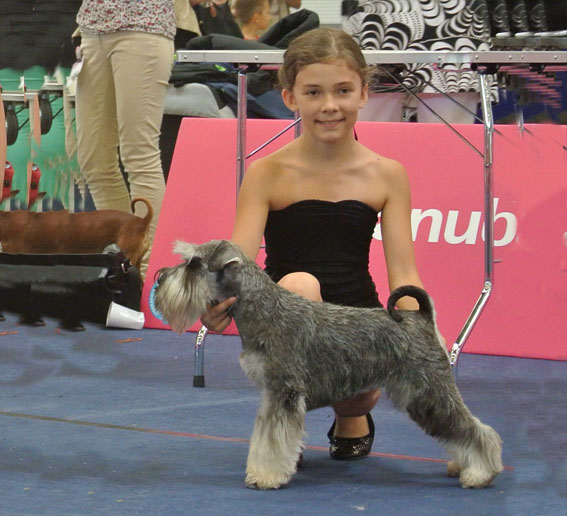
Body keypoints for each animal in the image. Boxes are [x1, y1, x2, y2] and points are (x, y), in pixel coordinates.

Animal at [153, 239, 503, 490]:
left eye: (194, 264)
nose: (159, 278)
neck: (264, 310)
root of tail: (421, 317)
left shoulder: (284, 393)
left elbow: (274, 440)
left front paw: (268, 477)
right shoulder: (272, 395)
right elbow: (264, 436)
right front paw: (261, 470)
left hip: (428, 392)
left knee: (475, 429)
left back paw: (480, 473)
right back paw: (462, 465)